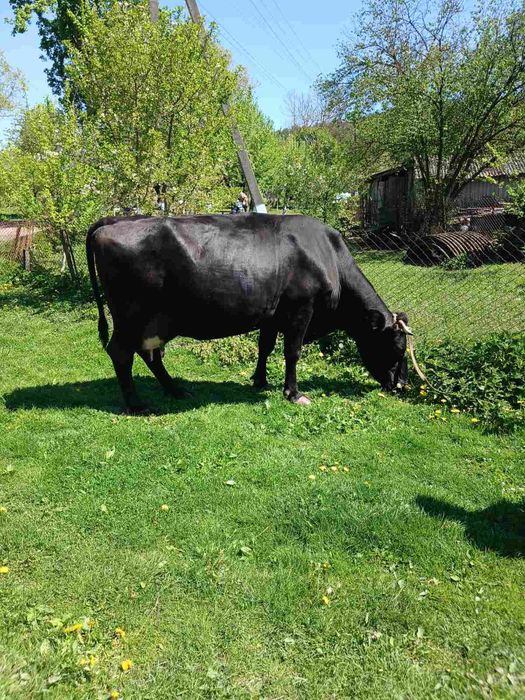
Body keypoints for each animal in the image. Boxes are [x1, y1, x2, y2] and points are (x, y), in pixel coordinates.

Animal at [86, 214, 411, 414]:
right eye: (397, 348)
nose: (402, 385)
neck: (327, 254)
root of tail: (114, 220)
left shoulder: (272, 313)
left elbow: (264, 347)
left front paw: (259, 380)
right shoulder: (301, 309)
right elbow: (292, 352)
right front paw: (294, 393)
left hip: (156, 321)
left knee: (150, 354)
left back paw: (176, 390)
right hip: (131, 314)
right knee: (121, 352)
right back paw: (136, 405)